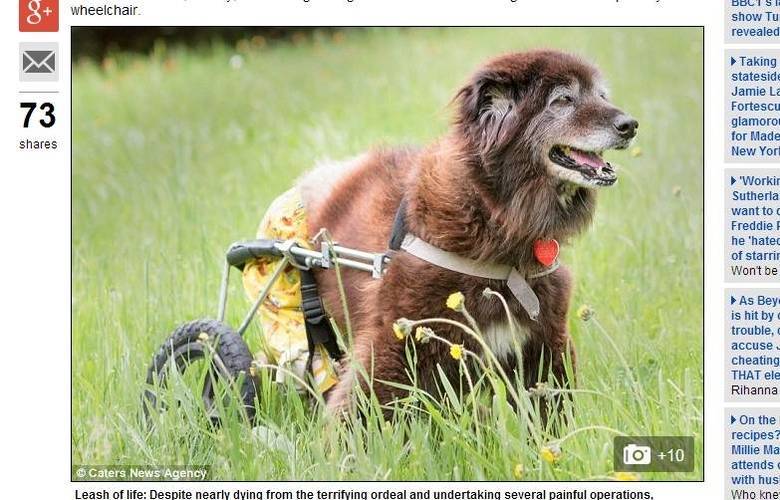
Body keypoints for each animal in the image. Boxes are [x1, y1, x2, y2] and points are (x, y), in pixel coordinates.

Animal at [296, 49, 636, 418]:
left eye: (601, 95)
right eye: (563, 100)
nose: (630, 125)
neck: (493, 215)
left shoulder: (544, 339)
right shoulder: (394, 340)